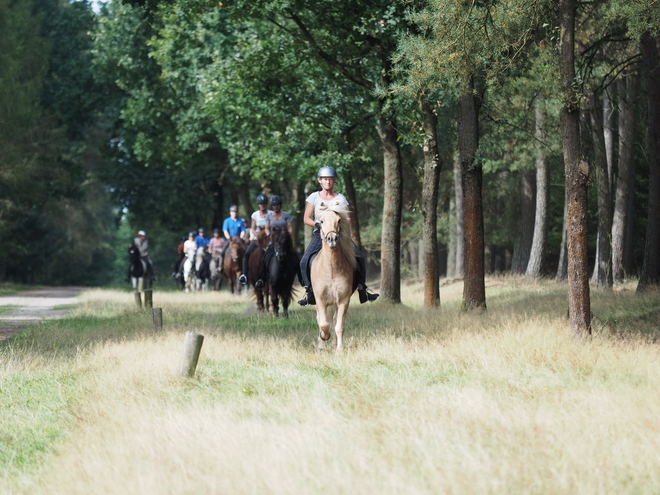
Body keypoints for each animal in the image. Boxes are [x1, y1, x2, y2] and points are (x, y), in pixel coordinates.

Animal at [310, 202, 356, 352]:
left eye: (339, 220)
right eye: (322, 221)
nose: (332, 239)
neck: (331, 269)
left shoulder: (343, 300)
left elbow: (339, 326)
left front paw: (339, 349)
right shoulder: (320, 300)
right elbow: (323, 323)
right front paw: (323, 337)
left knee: (335, 320)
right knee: (321, 318)